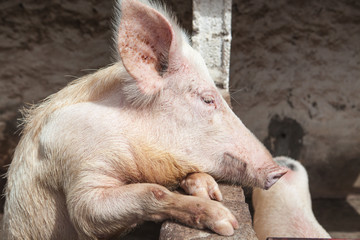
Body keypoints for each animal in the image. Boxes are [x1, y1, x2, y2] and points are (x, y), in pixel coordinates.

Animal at [0, 0, 286, 239]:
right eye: (208, 100)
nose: (279, 171)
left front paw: (211, 191)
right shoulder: (75, 165)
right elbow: (107, 207)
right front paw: (226, 221)